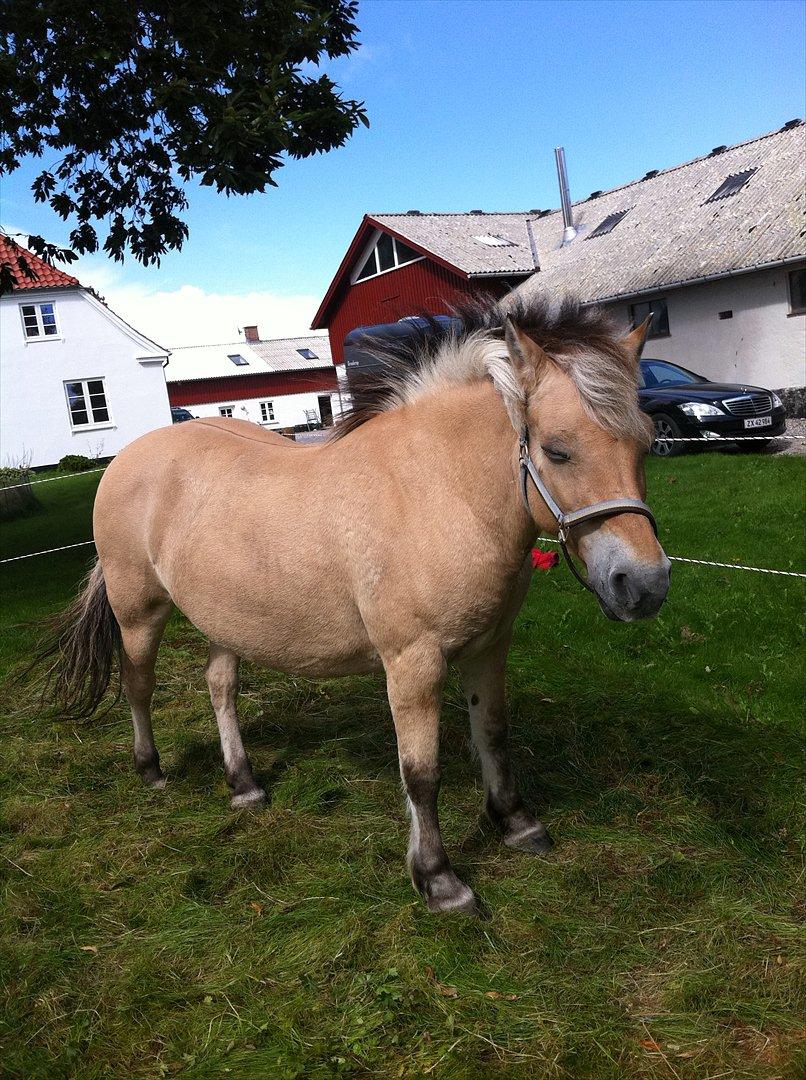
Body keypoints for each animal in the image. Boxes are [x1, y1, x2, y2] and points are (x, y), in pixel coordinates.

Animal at [36, 293, 665, 911]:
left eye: (646, 444)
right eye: (557, 451)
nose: (645, 584)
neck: (438, 490)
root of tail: (127, 457)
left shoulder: (489, 648)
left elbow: (492, 734)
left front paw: (514, 823)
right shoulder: (413, 663)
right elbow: (420, 773)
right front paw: (438, 879)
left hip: (227, 619)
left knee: (219, 686)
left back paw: (244, 784)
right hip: (138, 611)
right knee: (137, 684)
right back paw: (151, 770)